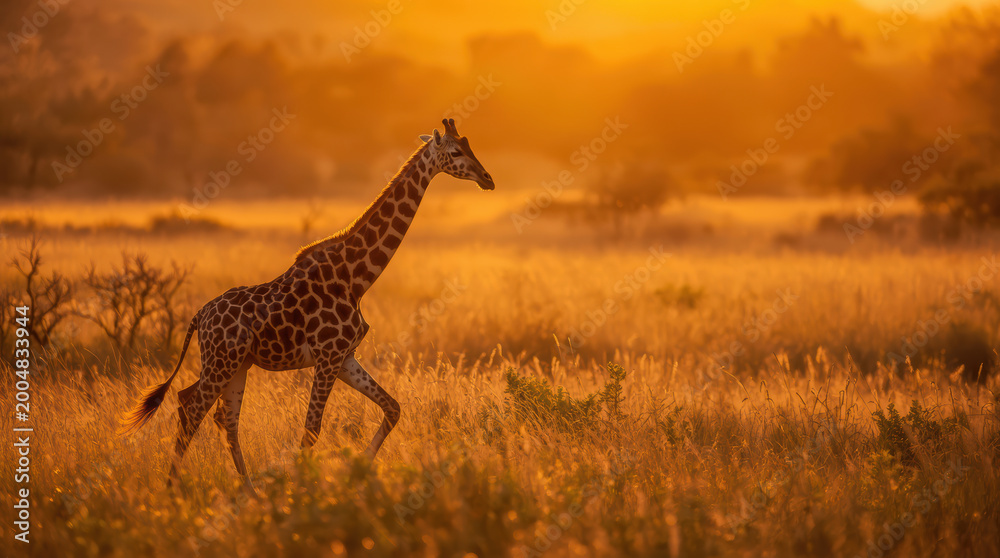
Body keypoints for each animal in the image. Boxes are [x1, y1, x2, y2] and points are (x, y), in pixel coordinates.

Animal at [119, 118, 494, 495]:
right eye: (455, 152)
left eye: (470, 144)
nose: (488, 179)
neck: (356, 278)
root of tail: (199, 316)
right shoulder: (327, 358)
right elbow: (311, 429)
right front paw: (302, 490)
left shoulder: (344, 357)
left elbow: (393, 407)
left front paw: (358, 468)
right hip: (221, 362)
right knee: (192, 408)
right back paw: (172, 489)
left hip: (237, 365)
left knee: (221, 416)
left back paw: (250, 491)